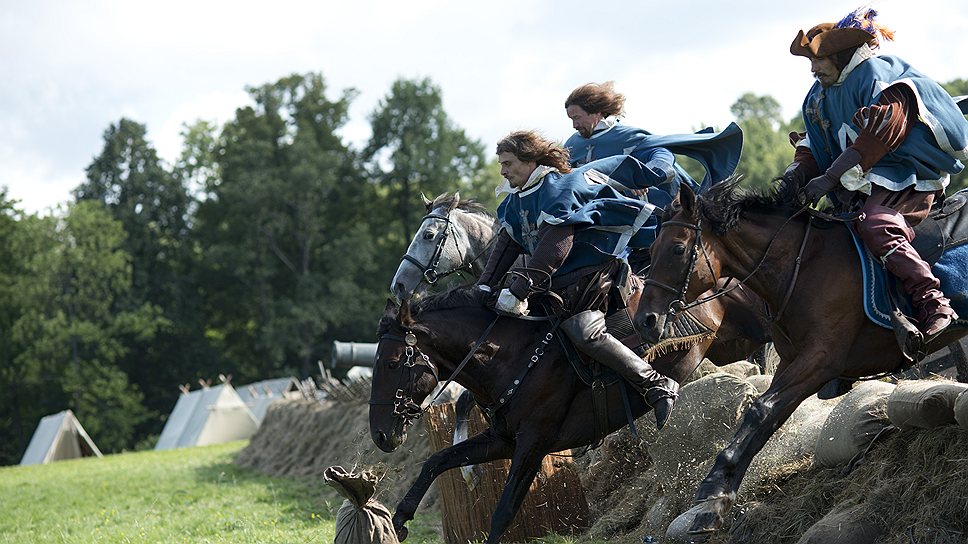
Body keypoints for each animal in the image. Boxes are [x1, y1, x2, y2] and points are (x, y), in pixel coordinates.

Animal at [636, 180, 968, 536]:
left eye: (678, 249)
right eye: (652, 251)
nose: (645, 321)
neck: (803, 265)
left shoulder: (821, 360)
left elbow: (762, 411)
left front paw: (713, 490)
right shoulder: (792, 362)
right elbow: (768, 416)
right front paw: (717, 503)